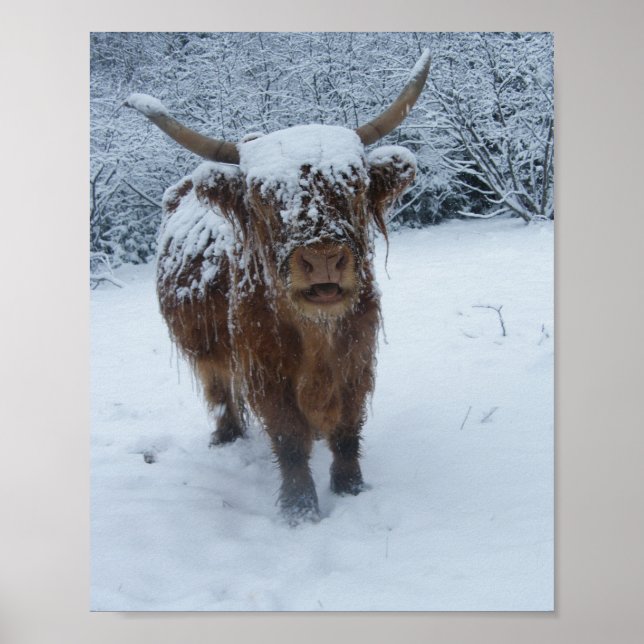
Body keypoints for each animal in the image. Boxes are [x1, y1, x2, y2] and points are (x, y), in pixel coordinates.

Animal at [124, 50, 431, 524]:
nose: (322, 258)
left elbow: (347, 426)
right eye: (261, 197)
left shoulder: (357, 355)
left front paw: (351, 488)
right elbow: (287, 437)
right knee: (219, 390)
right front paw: (300, 510)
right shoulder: (265, 368)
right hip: (206, 349)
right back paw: (226, 436)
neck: (316, 333)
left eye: (356, 185)